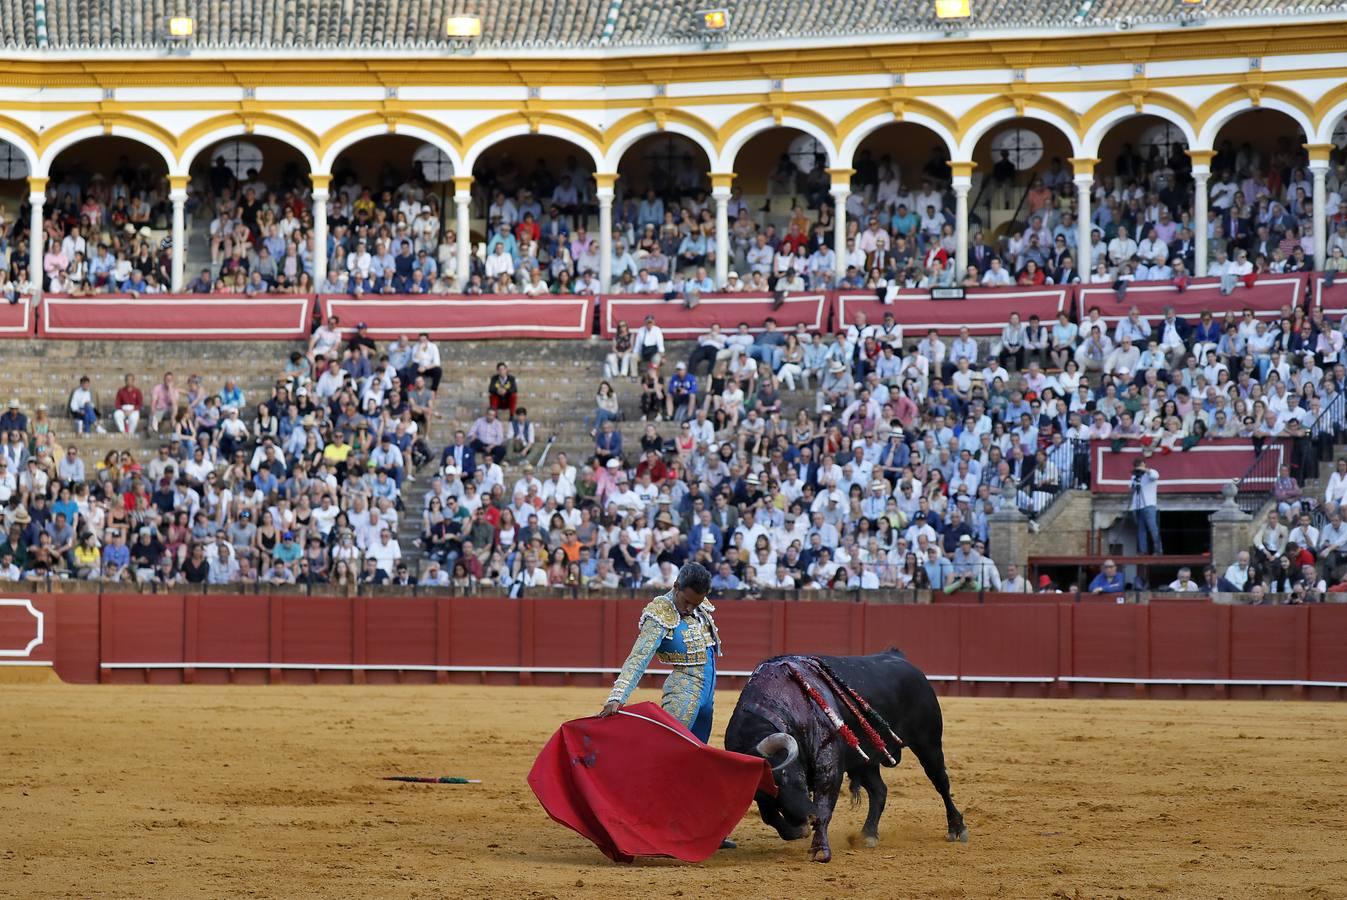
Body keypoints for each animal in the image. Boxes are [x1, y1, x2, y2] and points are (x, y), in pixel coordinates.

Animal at [727, 649, 969, 862]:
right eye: (761, 790)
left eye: (786, 776)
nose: (807, 816)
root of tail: (899, 657)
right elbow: (769, 816)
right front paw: (798, 831)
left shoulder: (829, 766)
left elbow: (825, 806)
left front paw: (820, 849)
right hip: (866, 761)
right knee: (879, 790)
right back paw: (868, 834)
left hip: (928, 743)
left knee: (941, 783)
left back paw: (957, 829)